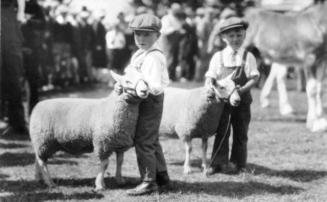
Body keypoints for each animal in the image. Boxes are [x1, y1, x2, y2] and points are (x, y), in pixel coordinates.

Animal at [245, 2, 327, 133]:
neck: (317, 23)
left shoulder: (322, 60)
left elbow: (320, 89)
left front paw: (320, 121)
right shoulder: (309, 59)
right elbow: (312, 89)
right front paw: (314, 124)